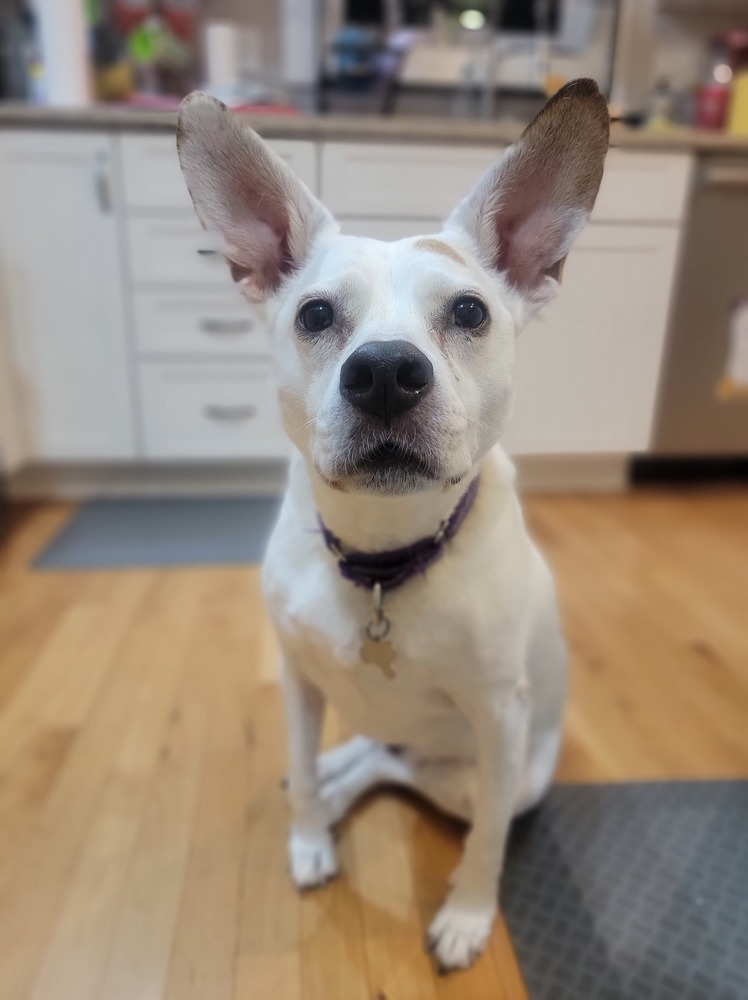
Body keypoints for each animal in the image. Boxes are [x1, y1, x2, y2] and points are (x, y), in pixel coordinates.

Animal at [178, 82, 612, 972]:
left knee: (410, 773)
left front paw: (470, 916)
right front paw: (310, 834)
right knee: (370, 753)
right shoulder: (297, 678)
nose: (384, 372)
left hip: (482, 771)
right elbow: (301, 757)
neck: (383, 557)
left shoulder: (499, 720)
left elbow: (487, 842)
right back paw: (330, 784)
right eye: (314, 315)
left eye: (470, 311)